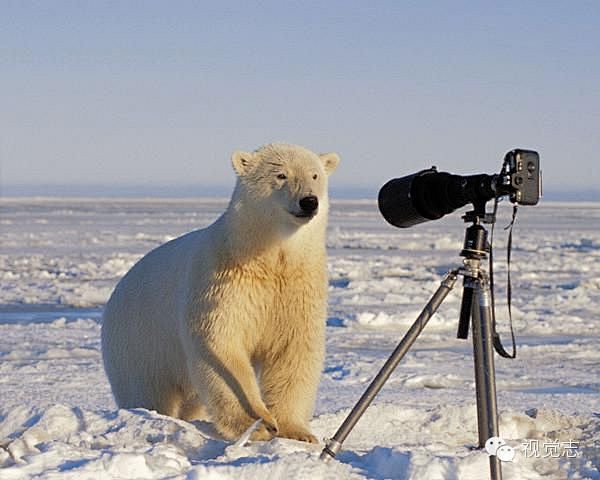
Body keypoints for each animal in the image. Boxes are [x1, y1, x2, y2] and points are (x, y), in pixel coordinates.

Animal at [101, 142, 340, 442]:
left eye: (314, 175)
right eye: (281, 175)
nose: (309, 201)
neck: (266, 256)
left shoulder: (298, 287)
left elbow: (293, 350)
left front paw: (296, 431)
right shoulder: (223, 283)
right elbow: (222, 345)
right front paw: (257, 425)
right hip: (139, 341)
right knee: (147, 389)